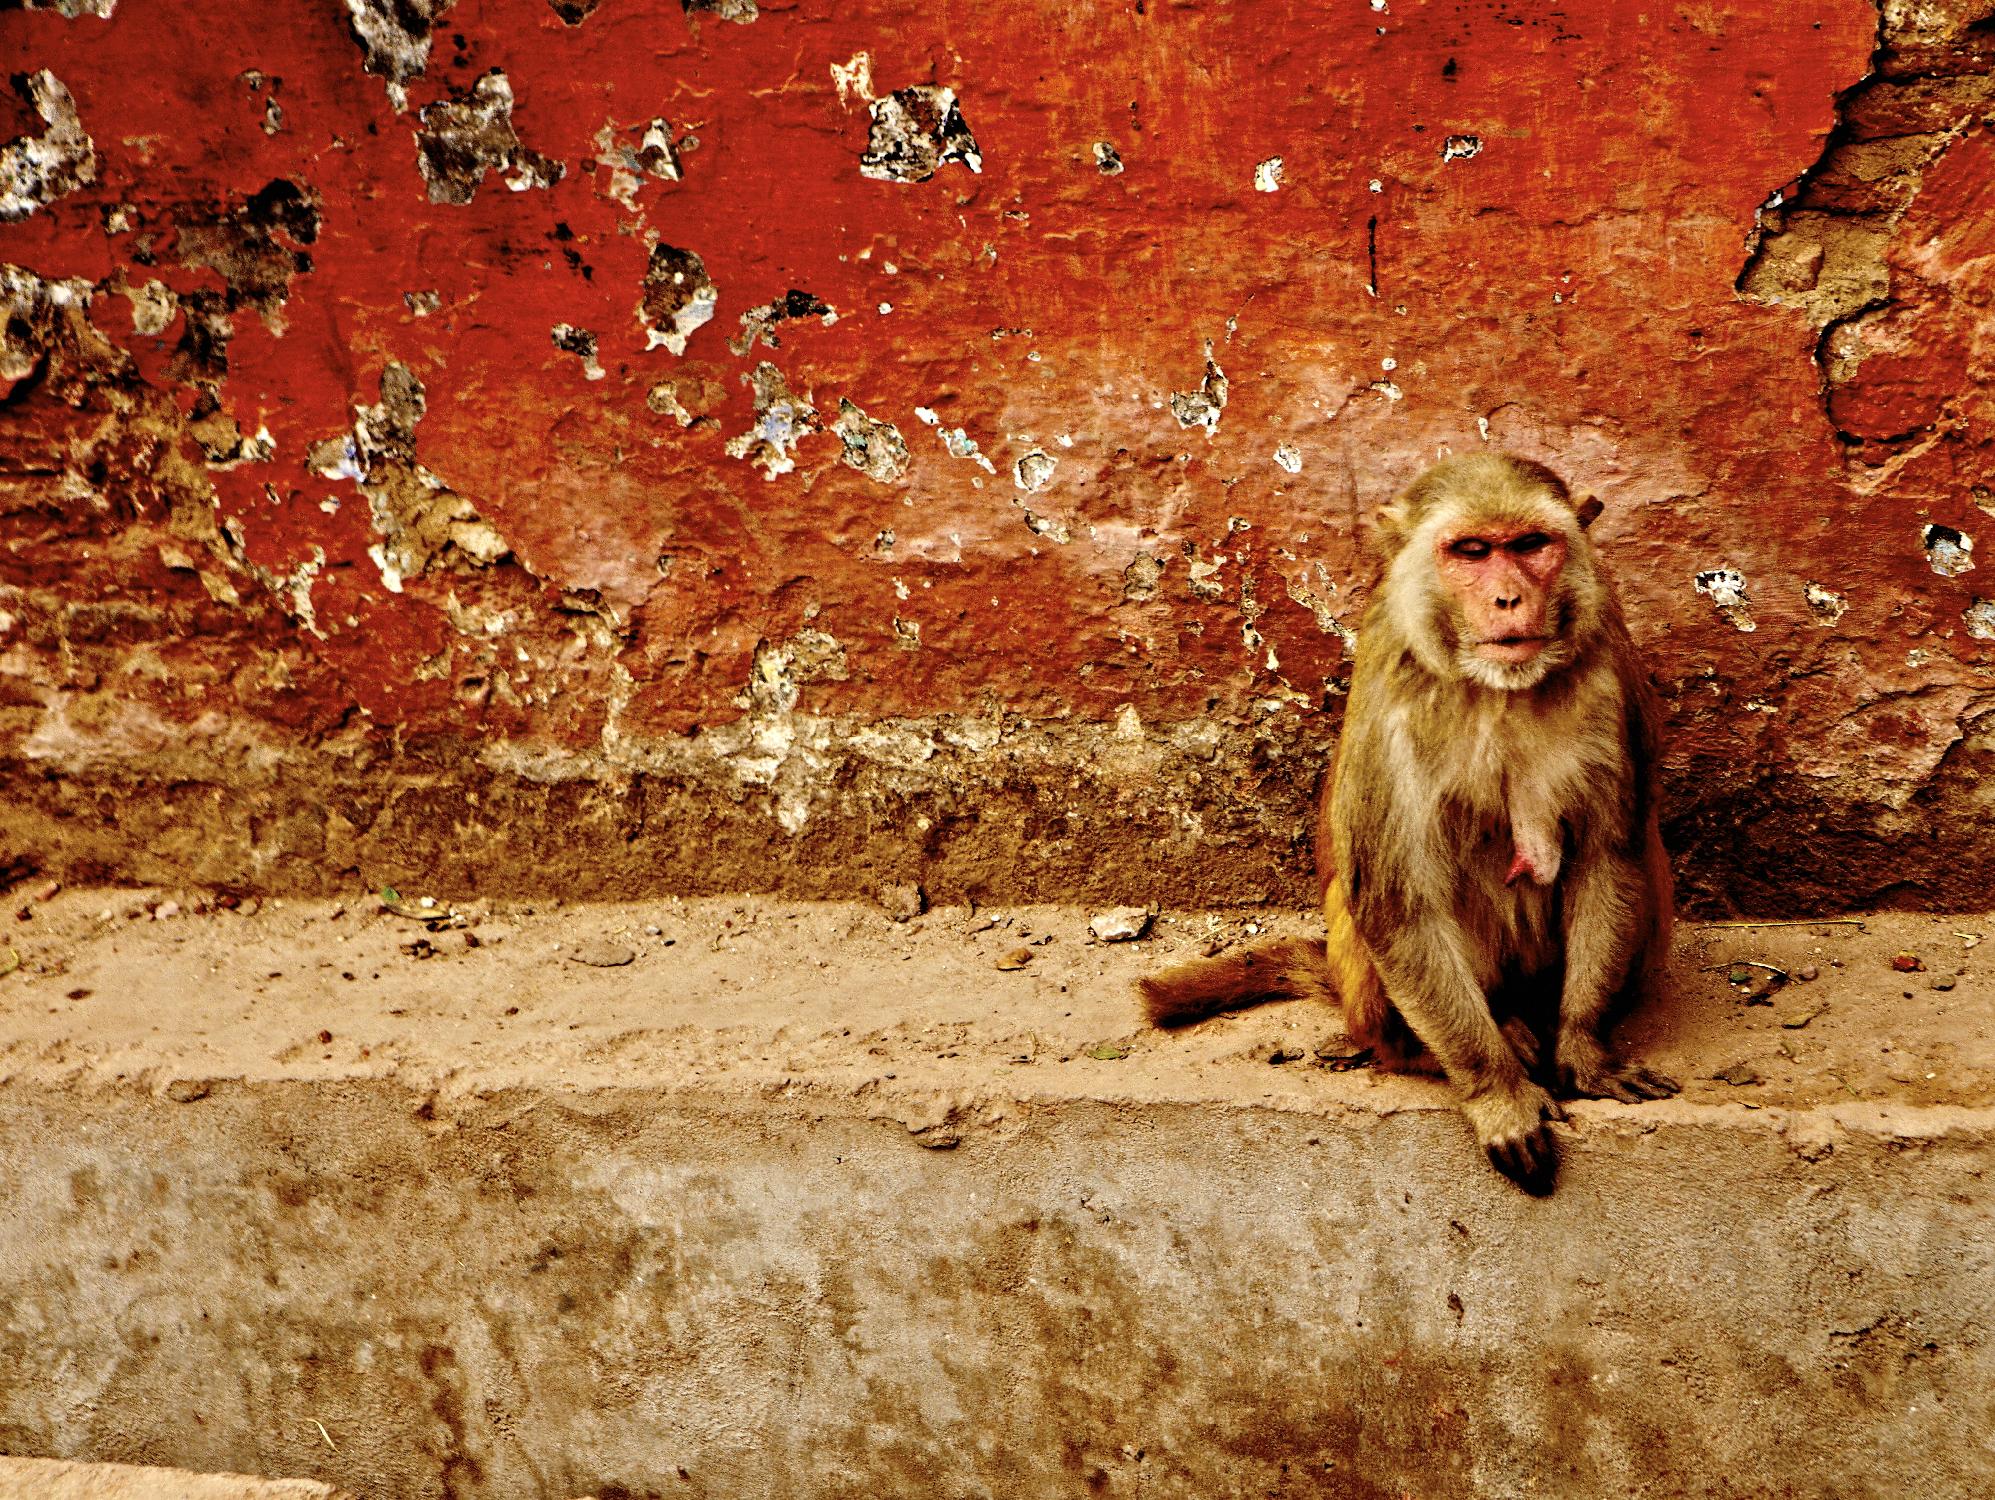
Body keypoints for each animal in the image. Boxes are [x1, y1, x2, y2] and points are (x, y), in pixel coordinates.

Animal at [1139, 452, 1677, 1194]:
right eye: (1472, 552)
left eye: (1529, 545)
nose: (1508, 598)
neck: (1498, 687)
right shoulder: (1389, 705)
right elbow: (1399, 906)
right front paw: (1495, 1093)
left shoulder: (1608, 679)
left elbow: (1608, 858)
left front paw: (1585, 1049)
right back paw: (1444, 1047)